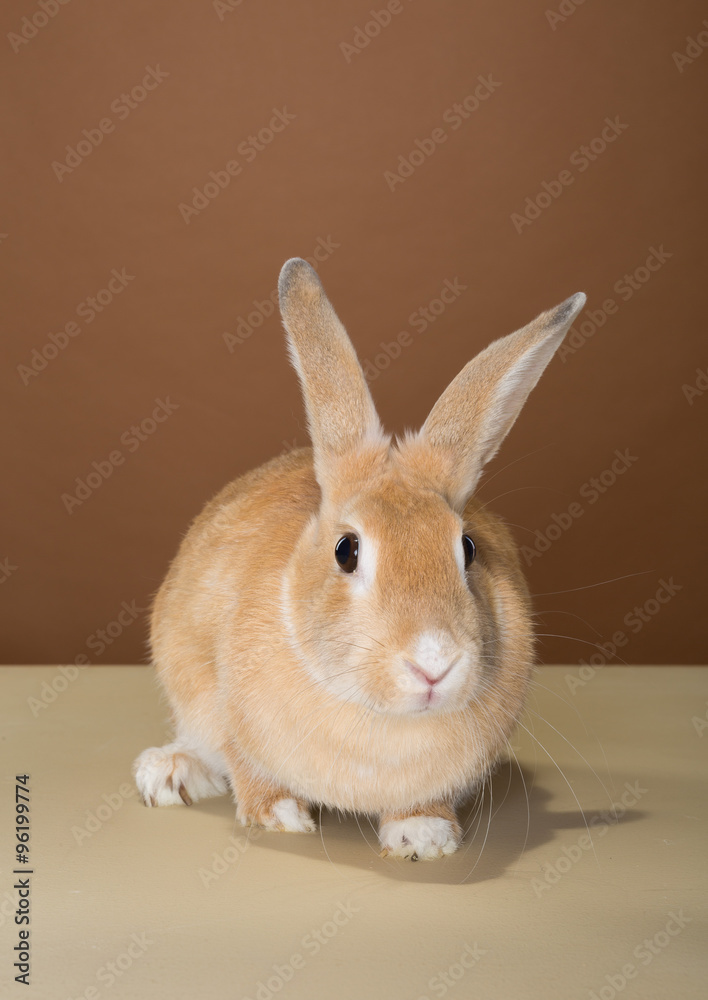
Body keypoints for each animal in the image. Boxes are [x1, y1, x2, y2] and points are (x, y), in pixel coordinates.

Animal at [134, 257, 586, 860]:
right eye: (346, 551)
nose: (433, 663)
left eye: (467, 548)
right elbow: (246, 763)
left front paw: (425, 836)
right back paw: (169, 773)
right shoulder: (226, 709)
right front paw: (280, 816)